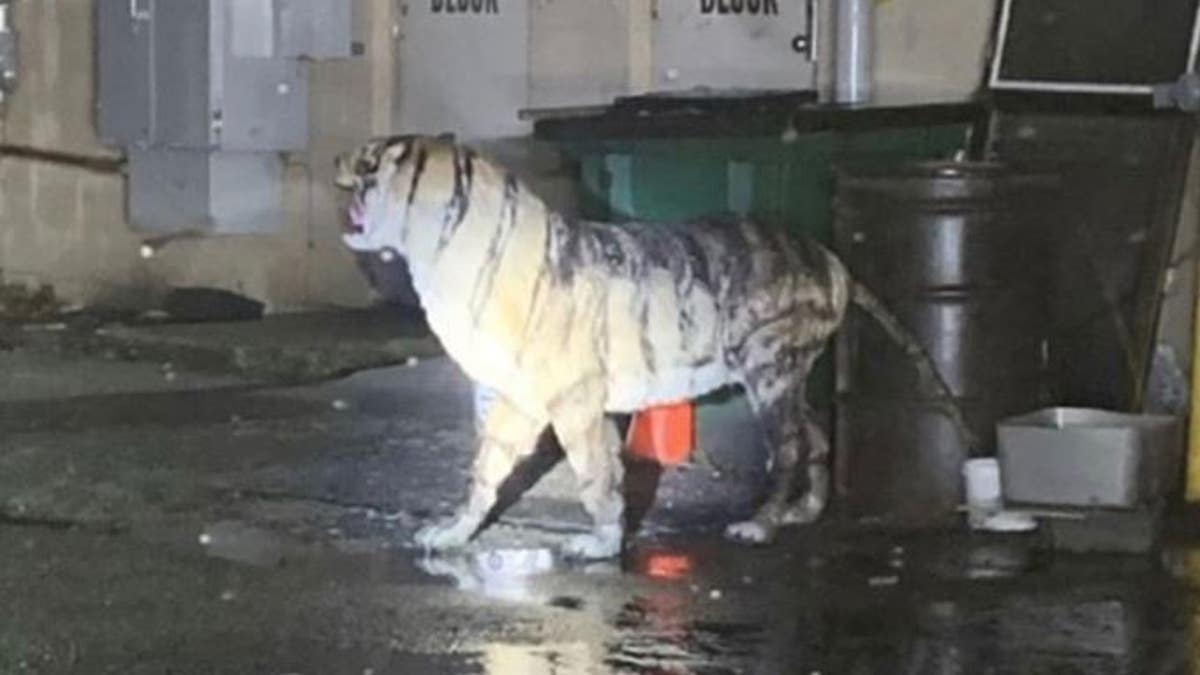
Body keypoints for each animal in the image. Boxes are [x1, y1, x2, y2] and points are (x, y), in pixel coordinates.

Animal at [333, 132, 969, 557]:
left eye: (370, 160)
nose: (333, 157)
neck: (445, 248)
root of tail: (833, 261)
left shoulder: (571, 400)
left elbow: (594, 473)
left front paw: (600, 544)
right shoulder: (513, 397)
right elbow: (487, 470)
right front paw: (454, 532)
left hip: (769, 374)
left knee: (788, 448)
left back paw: (761, 524)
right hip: (786, 377)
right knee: (814, 436)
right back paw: (804, 513)